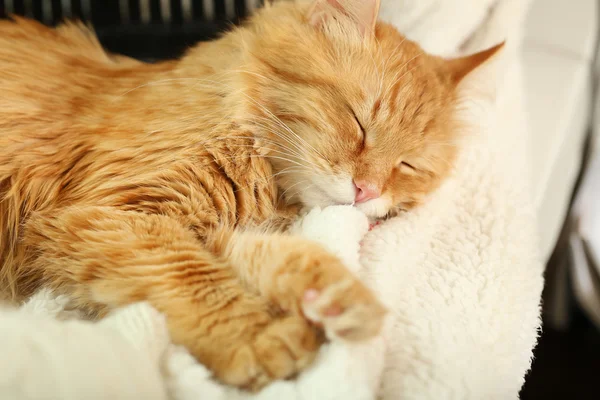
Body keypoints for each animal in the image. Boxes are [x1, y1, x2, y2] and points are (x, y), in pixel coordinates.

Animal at [0, 0, 502, 390]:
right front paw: (260, 337)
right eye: (358, 123)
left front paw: (334, 298)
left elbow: (271, 255)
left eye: (408, 166)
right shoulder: (111, 215)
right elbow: (195, 278)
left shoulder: (194, 227)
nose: (367, 191)